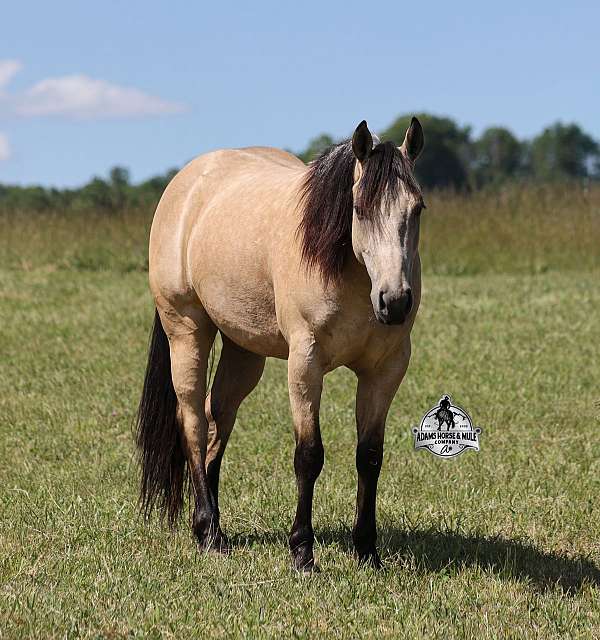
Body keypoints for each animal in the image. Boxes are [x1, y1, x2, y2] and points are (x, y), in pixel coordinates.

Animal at [136, 118, 426, 571]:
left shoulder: (385, 370)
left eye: (417, 209)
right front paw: (302, 552)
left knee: (218, 418)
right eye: (360, 209)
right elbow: (309, 455)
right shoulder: (304, 364)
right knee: (194, 423)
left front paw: (367, 551)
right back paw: (209, 532)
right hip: (185, 332)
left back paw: (214, 522)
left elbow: (369, 456)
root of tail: (186, 183)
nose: (394, 302)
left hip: (244, 352)